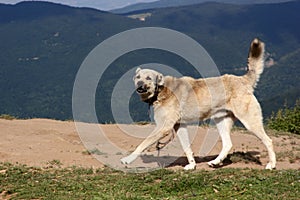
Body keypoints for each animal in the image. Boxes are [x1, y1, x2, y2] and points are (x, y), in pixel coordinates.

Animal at [120, 38, 276, 170]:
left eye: (148, 78)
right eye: (138, 77)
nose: (139, 85)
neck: (161, 91)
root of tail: (242, 80)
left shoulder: (163, 127)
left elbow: (142, 144)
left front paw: (128, 159)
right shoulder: (179, 126)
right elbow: (187, 148)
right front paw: (192, 165)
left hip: (250, 122)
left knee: (268, 141)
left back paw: (271, 165)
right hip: (221, 121)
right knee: (228, 144)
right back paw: (215, 162)